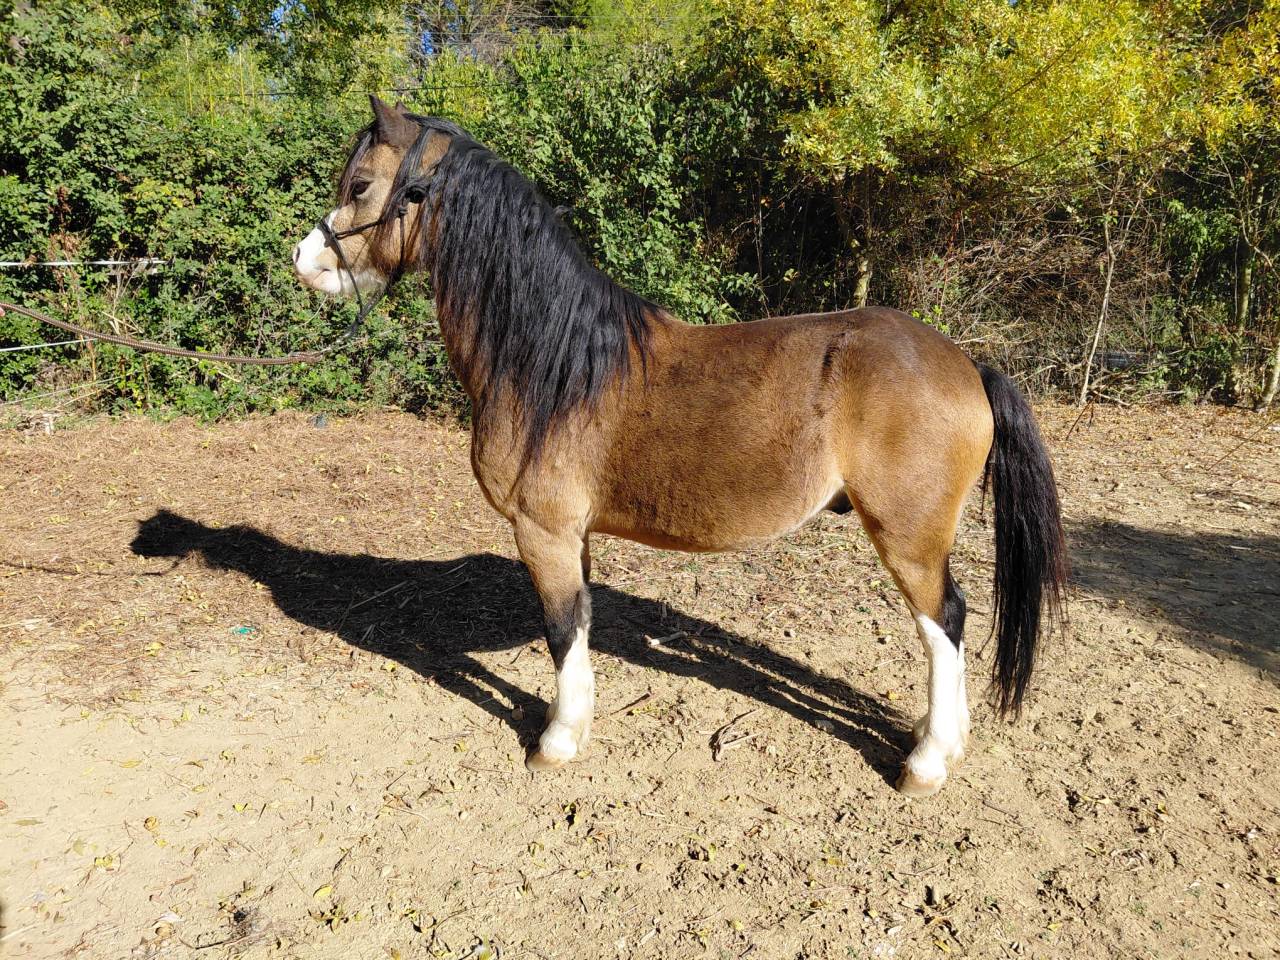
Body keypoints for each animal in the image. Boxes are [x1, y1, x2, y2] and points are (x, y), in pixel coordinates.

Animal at [290, 96, 1067, 796]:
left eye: (360, 186)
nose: (304, 261)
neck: (554, 361)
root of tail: (967, 364)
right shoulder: (573, 535)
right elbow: (582, 625)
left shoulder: (543, 531)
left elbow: (561, 630)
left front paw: (555, 742)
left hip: (908, 536)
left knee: (945, 622)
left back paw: (927, 762)